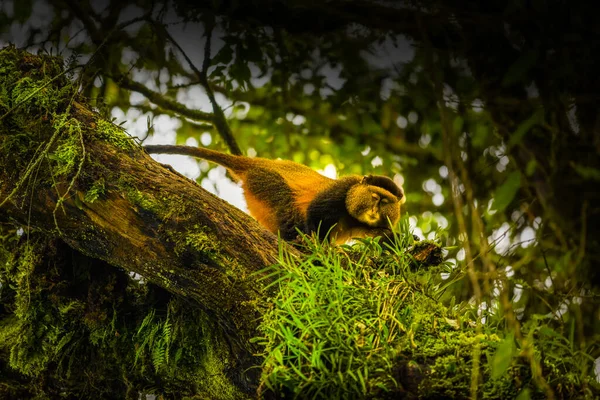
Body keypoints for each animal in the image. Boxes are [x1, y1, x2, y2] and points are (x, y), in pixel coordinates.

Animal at [146, 145, 408, 244]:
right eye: (375, 198)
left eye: (385, 203)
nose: (373, 211)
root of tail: (256, 163)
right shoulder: (343, 189)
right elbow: (316, 213)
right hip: (265, 181)